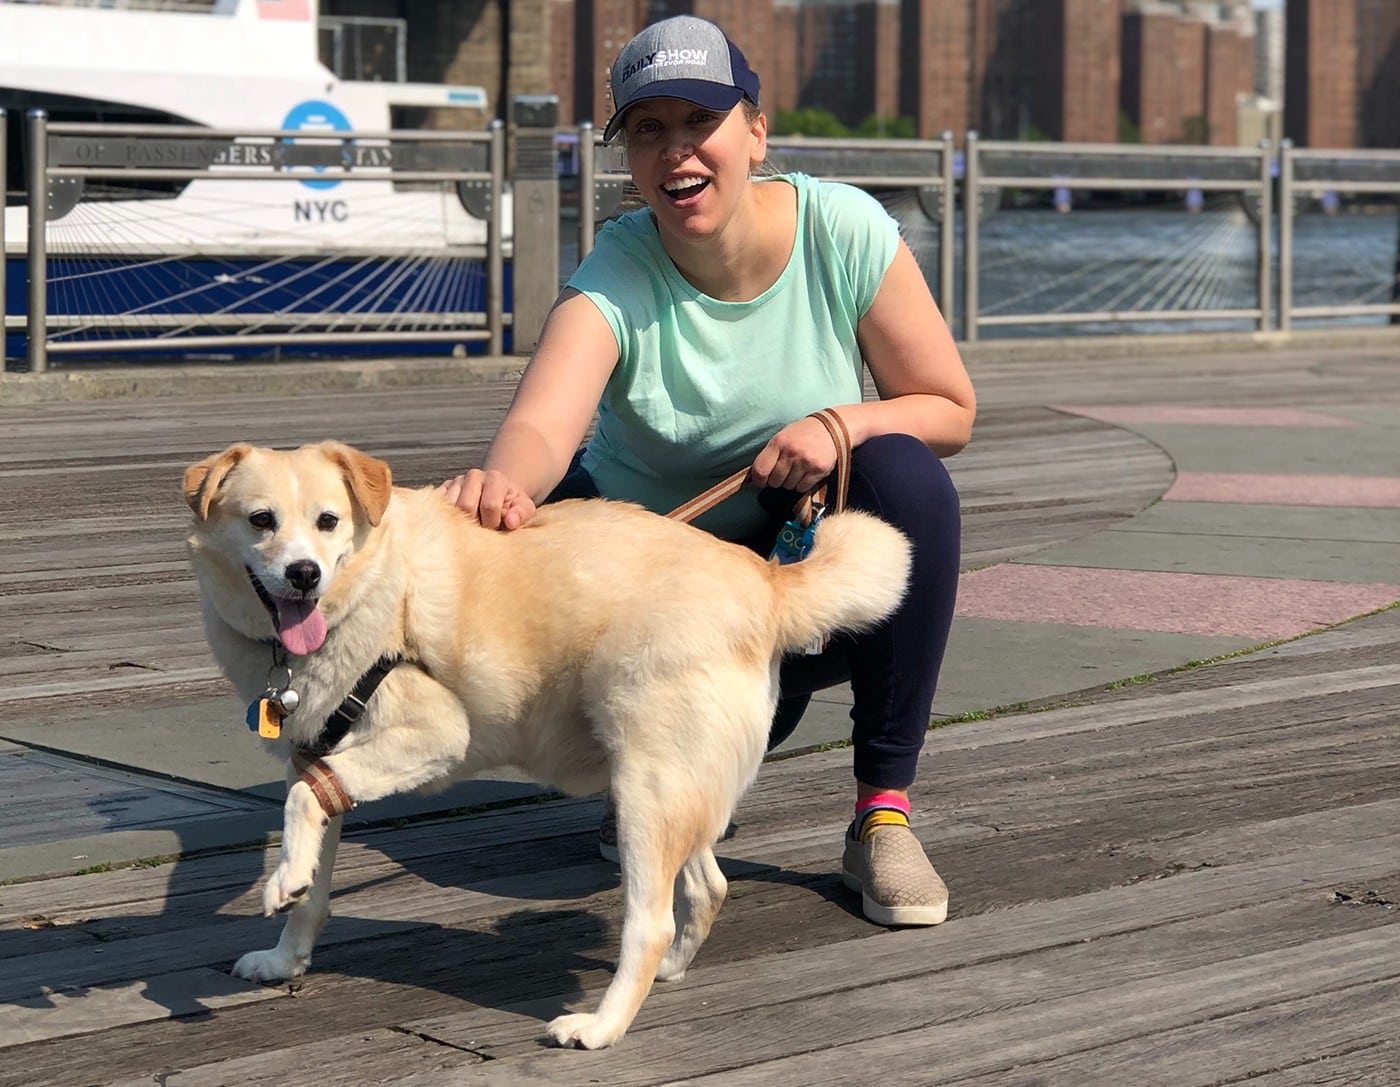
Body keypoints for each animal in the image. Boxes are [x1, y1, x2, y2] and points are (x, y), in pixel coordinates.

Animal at [183, 437, 907, 1047]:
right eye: (261, 520)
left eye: (329, 521)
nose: (304, 573)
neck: (368, 588)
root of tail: (767, 579)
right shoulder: (320, 753)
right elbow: (313, 860)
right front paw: (286, 950)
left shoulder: (436, 734)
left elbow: (304, 799)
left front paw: (281, 881)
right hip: (680, 785)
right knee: (708, 886)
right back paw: (670, 971)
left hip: (643, 791)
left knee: (651, 922)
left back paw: (602, 1026)